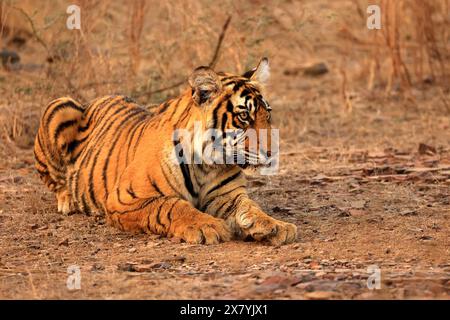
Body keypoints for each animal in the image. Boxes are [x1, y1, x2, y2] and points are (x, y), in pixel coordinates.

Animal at [33, 57, 298, 245]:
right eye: (244, 117)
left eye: (267, 114)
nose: (272, 152)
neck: (209, 163)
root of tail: (103, 96)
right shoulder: (125, 198)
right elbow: (171, 205)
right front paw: (207, 226)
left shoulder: (228, 197)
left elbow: (250, 207)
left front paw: (276, 225)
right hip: (60, 106)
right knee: (56, 182)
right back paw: (68, 200)